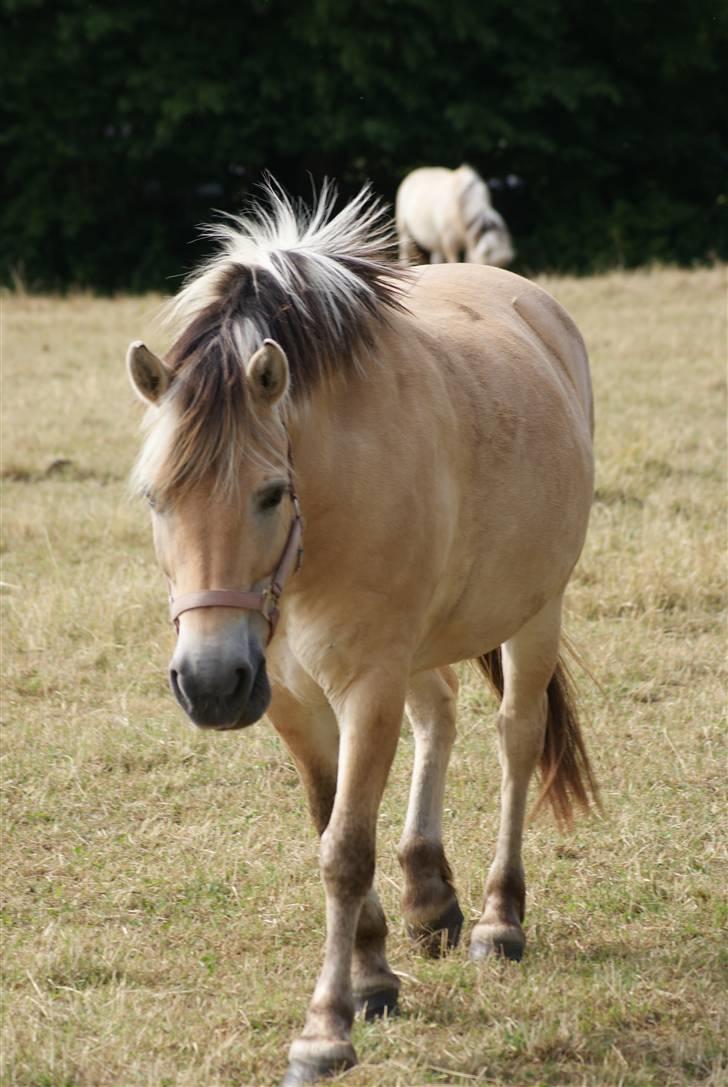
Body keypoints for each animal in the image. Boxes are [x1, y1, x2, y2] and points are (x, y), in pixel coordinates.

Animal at [127, 186, 599, 1087]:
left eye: (272, 493)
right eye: (154, 498)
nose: (208, 683)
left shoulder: (366, 683)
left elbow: (345, 849)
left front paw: (326, 1027)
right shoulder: (291, 697)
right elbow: (331, 824)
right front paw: (376, 975)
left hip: (535, 613)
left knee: (515, 738)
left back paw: (498, 918)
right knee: (439, 717)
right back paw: (430, 895)